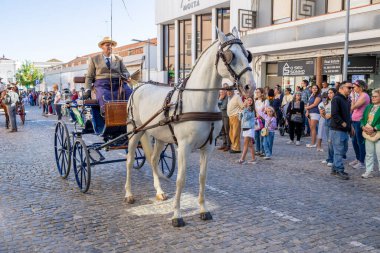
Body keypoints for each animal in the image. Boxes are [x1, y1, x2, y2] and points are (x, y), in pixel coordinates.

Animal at [124, 27, 255, 227]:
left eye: (248, 55)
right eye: (230, 55)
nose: (250, 86)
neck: (199, 101)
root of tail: (139, 86)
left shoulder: (208, 147)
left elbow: (202, 177)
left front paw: (203, 209)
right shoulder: (184, 147)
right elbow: (181, 179)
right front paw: (177, 215)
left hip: (160, 136)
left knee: (153, 160)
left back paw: (159, 192)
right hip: (135, 132)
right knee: (130, 161)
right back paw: (129, 194)